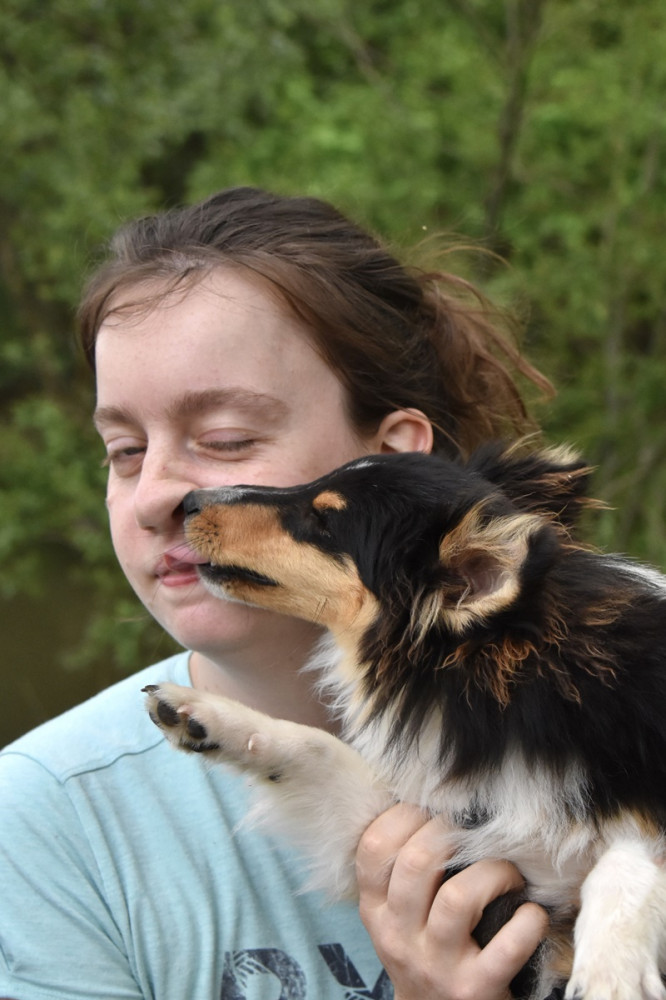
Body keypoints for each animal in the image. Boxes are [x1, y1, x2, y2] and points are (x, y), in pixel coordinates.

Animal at [144, 448, 664, 1000]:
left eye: (324, 522)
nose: (188, 501)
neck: (514, 700)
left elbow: (629, 856)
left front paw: (611, 968)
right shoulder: (447, 838)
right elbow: (316, 746)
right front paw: (203, 714)